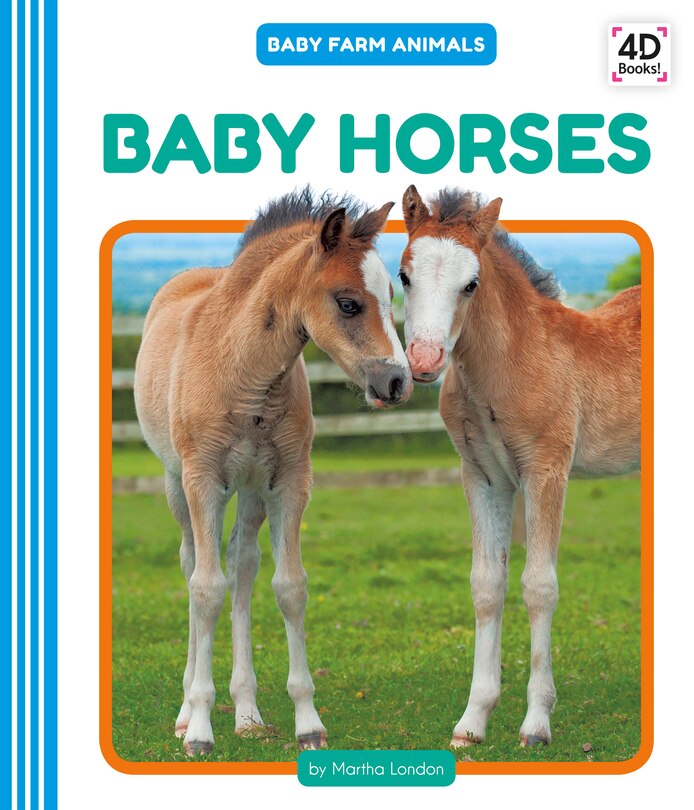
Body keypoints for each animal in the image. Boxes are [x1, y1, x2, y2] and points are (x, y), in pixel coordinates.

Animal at [133, 188, 412, 755]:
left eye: (392, 294)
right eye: (347, 302)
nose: (398, 382)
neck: (244, 371)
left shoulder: (288, 483)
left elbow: (289, 587)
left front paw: (308, 723)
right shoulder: (201, 481)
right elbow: (204, 589)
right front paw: (199, 730)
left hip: (250, 490)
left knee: (242, 566)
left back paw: (247, 713)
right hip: (179, 486)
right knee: (194, 565)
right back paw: (187, 712)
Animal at [398, 185, 640, 748]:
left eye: (471, 284)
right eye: (403, 275)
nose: (424, 361)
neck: (510, 364)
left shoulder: (546, 471)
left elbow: (538, 587)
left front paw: (536, 724)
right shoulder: (484, 477)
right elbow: (488, 585)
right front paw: (472, 723)